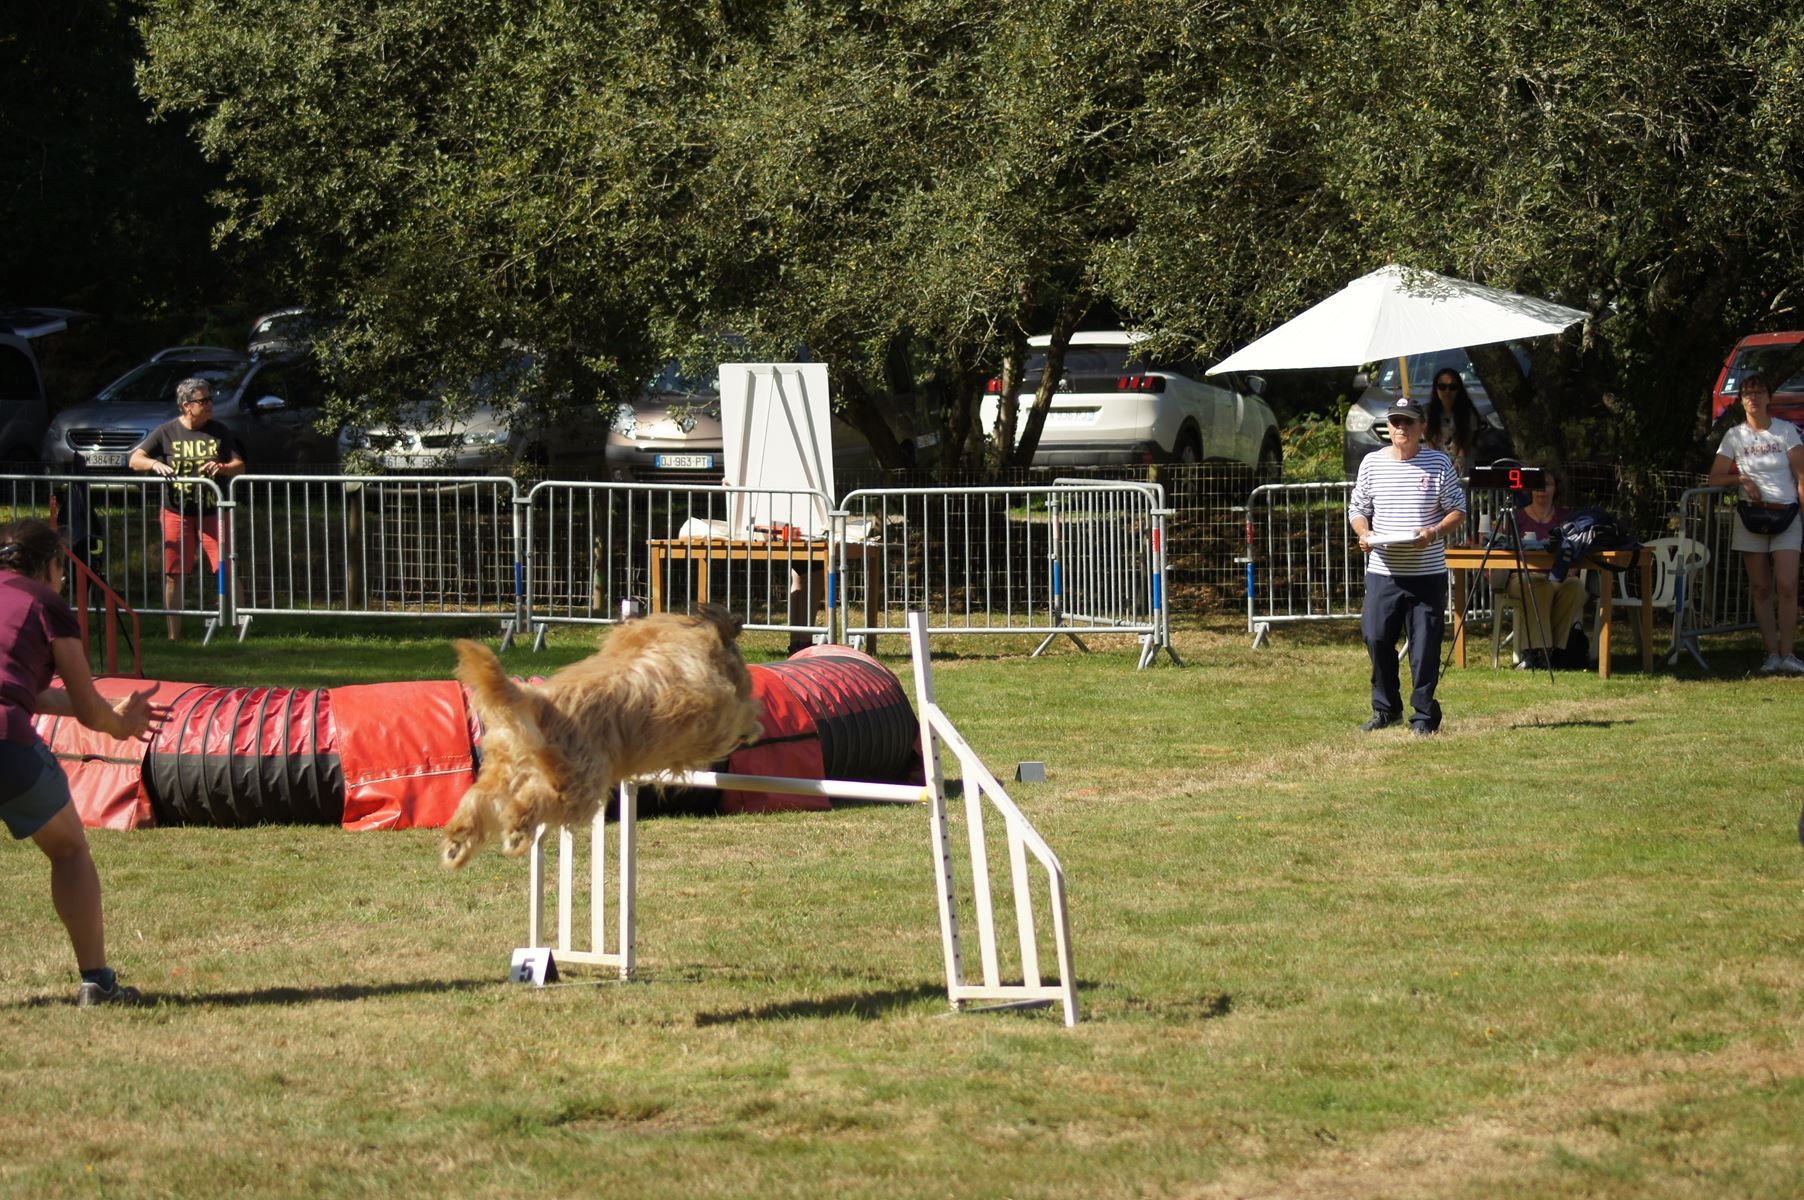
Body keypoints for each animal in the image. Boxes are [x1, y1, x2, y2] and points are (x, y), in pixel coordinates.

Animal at [451, 602, 768, 866]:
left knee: (479, 799)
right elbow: (742, 713)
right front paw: (754, 726)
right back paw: (515, 831)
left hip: (505, 767)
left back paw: (457, 843)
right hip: (579, 783)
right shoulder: (713, 722)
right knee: (535, 800)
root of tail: (535, 701)